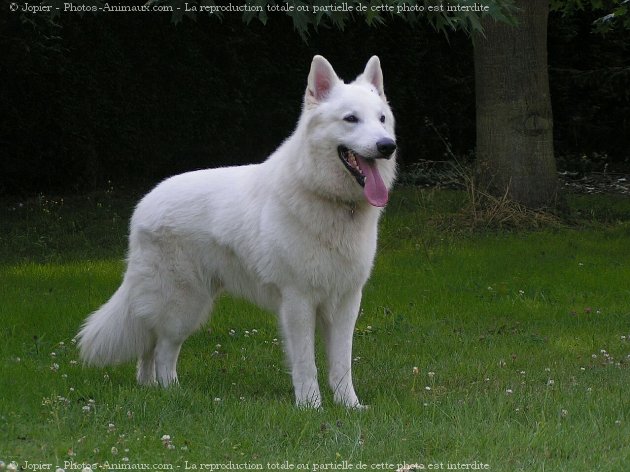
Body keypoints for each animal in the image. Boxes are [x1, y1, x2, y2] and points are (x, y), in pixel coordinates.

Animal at [76, 55, 398, 408]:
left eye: (381, 119)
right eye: (351, 119)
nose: (388, 146)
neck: (332, 200)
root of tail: (143, 206)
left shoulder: (346, 302)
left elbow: (341, 364)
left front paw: (349, 407)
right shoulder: (298, 301)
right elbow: (305, 364)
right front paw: (311, 407)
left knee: (149, 346)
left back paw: (150, 389)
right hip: (183, 306)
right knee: (163, 351)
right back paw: (176, 393)